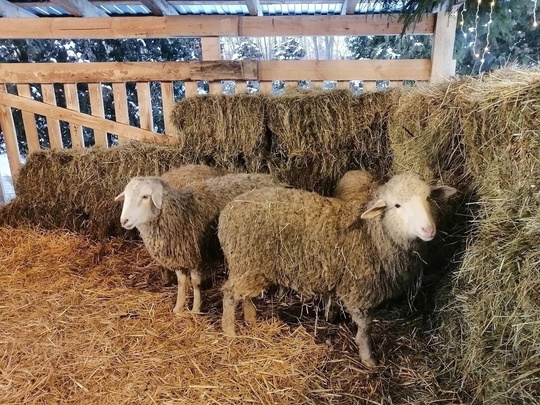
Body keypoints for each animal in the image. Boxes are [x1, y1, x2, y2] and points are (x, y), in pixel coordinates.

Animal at [114, 172, 286, 314]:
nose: (124, 221)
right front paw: (178, 307)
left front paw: (196, 308)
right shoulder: (181, 256)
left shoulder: (196, 256)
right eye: (126, 196)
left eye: (145, 196)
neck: (181, 213)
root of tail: (270, 178)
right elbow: (182, 282)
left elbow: (196, 283)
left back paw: (279, 293)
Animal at [218, 172, 456, 368]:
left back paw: (251, 319)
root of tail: (228, 210)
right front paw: (369, 359)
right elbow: (365, 328)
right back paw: (230, 332)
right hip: (246, 263)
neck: (372, 234)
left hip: (251, 268)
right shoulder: (359, 291)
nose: (428, 229)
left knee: (245, 295)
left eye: (428, 198)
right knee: (229, 294)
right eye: (397, 206)